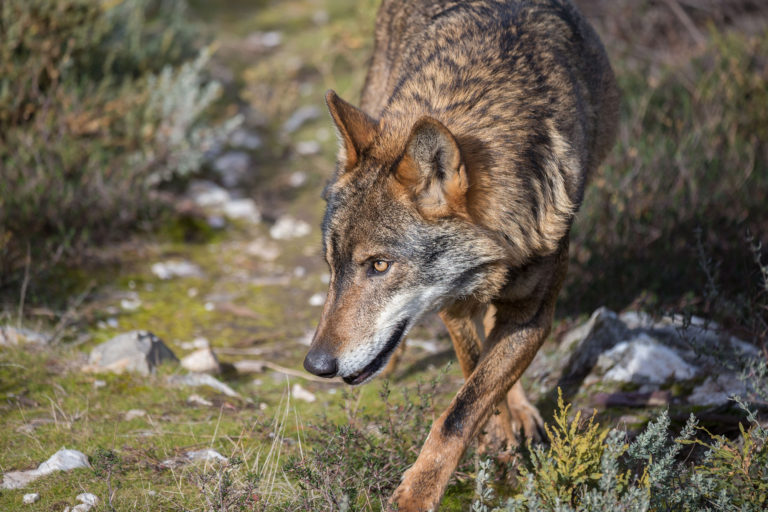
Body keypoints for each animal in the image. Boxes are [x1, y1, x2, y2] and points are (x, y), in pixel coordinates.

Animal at [304, 1, 620, 508]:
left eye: (379, 265)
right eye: (333, 267)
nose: (316, 366)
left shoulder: (534, 315)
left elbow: (463, 409)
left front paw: (417, 493)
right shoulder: (452, 306)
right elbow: (474, 375)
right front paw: (498, 439)